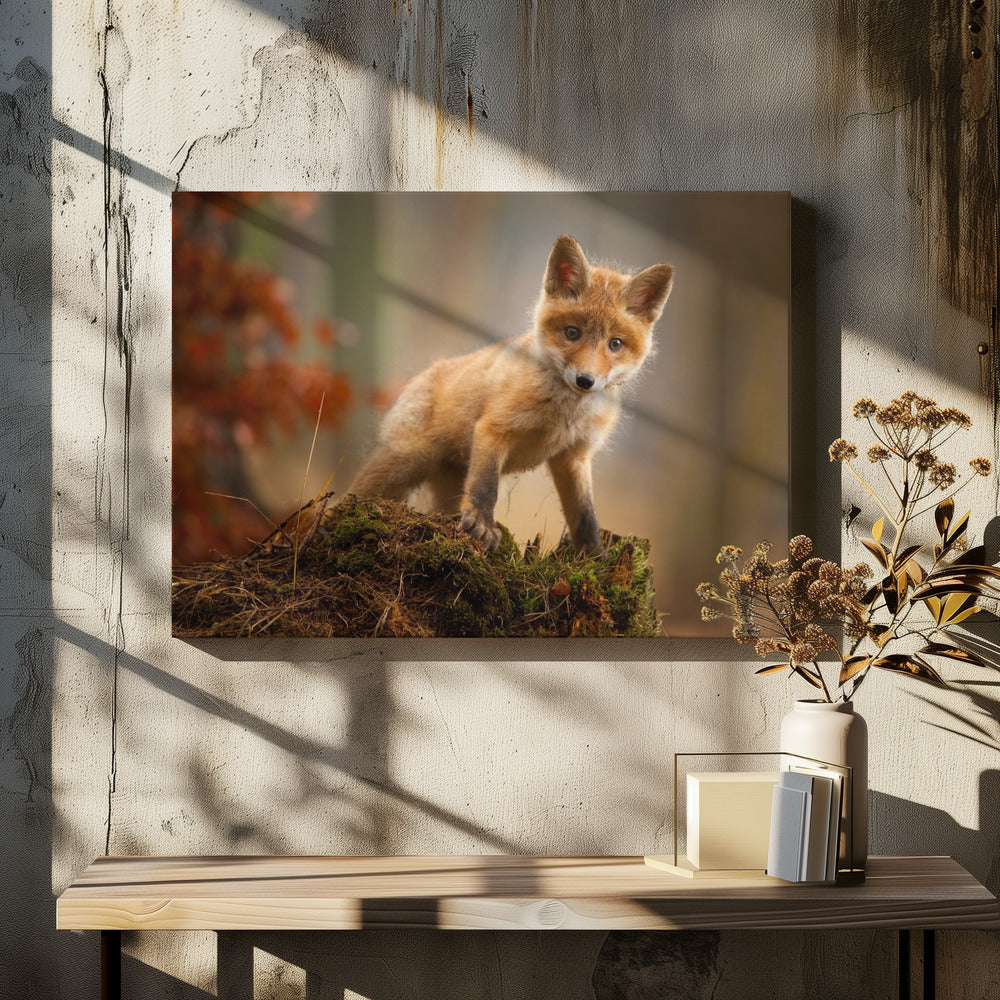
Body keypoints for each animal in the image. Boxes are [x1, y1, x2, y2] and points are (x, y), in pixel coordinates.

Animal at [346, 235, 674, 554]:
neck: (564, 414)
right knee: (352, 495)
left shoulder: (574, 456)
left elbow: (585, 516)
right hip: (405, 461)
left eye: (615, 344)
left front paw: (593, 557)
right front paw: (482, 525)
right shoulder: (494, 429)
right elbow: (486, 487)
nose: (585, 380)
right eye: (572, 333)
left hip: (448, 485)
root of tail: (425, 372)